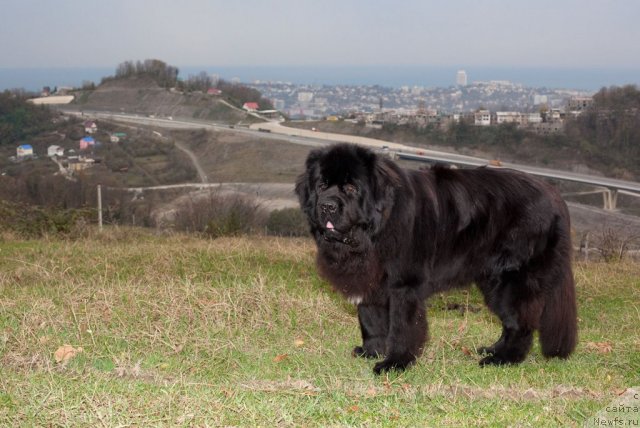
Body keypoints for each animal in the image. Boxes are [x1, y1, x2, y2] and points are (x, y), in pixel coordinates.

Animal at [298, 144, 576, 374]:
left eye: (351, 188)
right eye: (321, 186)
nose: (327, 206)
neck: (372, 233)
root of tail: (553, 193)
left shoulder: (404, 285)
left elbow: (401, 327)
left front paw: (395, 363)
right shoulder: (368, 281)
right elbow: (370, 320)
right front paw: (371, 351)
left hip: (513, 280)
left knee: (521, 323)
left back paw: (503, 359)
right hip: (493, 282)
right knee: (510, 322)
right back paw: (493, 350)